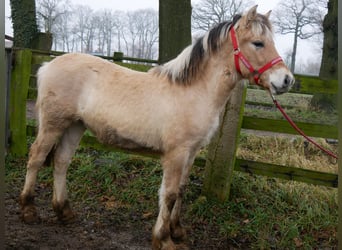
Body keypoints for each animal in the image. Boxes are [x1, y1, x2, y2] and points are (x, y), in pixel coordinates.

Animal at [20, 5, 294, 250]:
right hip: (53, 124)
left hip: (74, 126)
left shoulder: (191, 153)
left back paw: (64, 211)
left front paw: (177, 231)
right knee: (36, 157)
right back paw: (28, 209)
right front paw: (163, 239)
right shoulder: (176, 154)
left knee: (61, 161)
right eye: (258, 43)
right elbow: (169, 193)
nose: (287, 80)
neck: (193, 91)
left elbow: (181, 190)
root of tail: (47, 66)